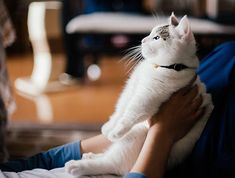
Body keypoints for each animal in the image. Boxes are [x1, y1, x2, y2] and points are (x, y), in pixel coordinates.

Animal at [64, 13, 213, 177]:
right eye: (150, 33)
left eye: (156, 38)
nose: (142, 40)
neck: (160, 67)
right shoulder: (132, 86)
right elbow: (121, 109)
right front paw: (109, 127)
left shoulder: (148, 97)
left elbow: (130, 114)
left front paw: (116, 132)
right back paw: (90, 156)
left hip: (136, 135)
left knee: (112, 164)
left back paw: (78, 166)